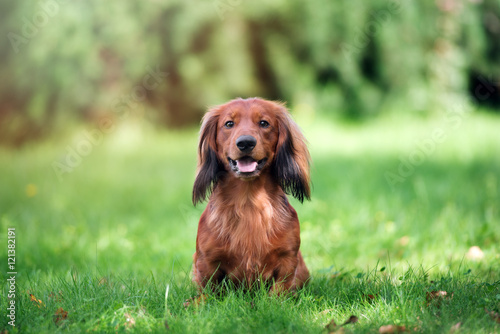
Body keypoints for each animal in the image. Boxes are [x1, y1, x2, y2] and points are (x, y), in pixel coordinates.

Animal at [190, 97, 308, 292]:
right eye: (229, 124)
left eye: (264, 123)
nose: (245, 143)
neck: (249, 201)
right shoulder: (206, 260)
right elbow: (208, 291)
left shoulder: (287, 258)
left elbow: (279, 291)